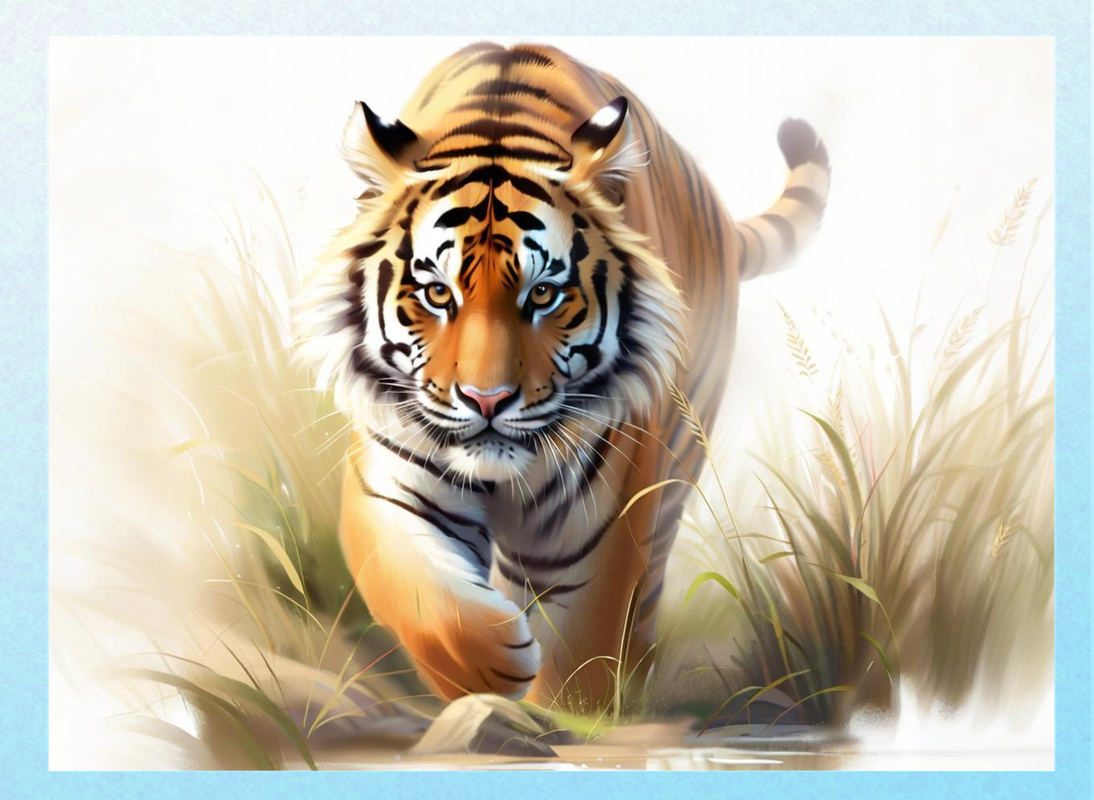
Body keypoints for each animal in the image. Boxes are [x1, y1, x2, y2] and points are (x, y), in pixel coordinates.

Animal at [296, 42, 830, 711]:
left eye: (544, 293)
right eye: (438, 293)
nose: (487, 399)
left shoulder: (602, 522)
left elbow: (583, 658)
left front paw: (567, 712)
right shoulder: (392, 482)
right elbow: (424, 598)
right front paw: (488, 667)